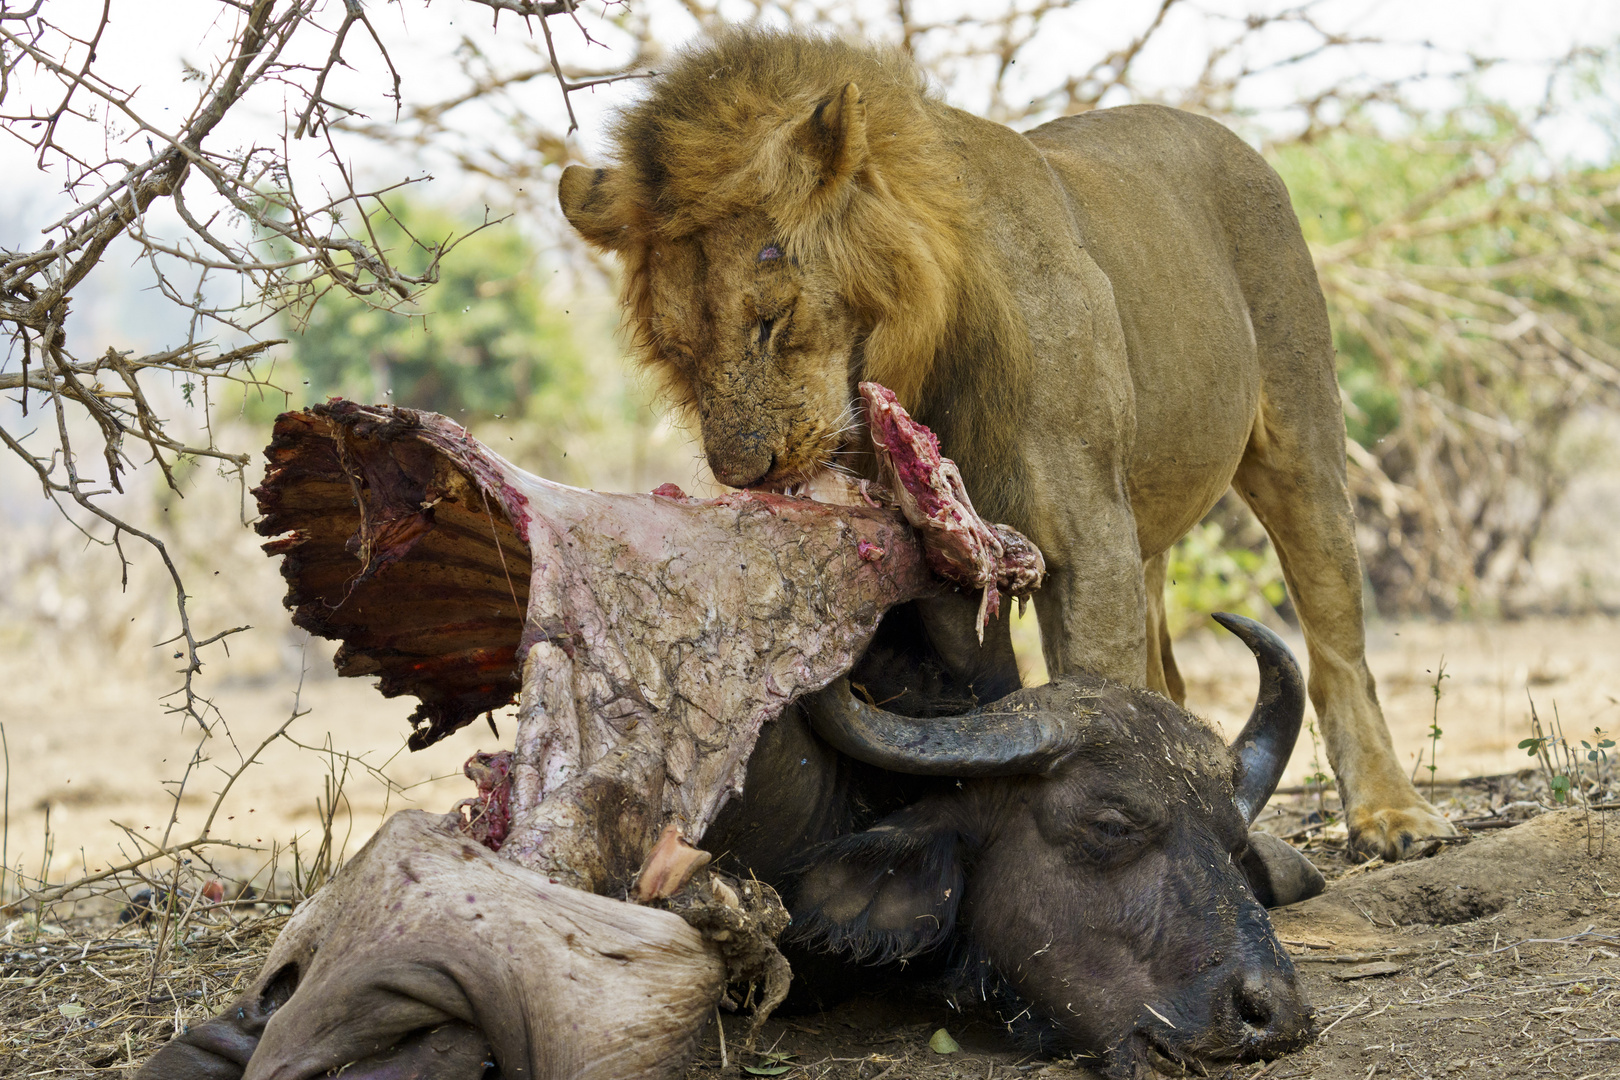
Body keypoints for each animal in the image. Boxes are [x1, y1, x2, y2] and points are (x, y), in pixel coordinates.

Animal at [560, 29, 1458, 861]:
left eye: (771, 320)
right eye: (678, 350)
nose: (745, 473)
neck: (922, 354)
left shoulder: (1091, 536)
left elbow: (1103, 697)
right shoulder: (957, 567)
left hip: (1301, 437)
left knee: (1338, 642)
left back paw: (1393, 816)